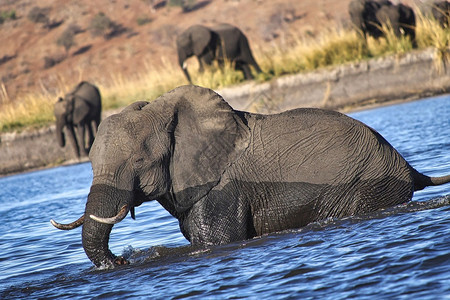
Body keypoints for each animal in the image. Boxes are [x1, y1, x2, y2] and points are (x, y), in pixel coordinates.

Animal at [51, 84, 450, 268]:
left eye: (137, 160)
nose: (122, 261)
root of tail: (408, 167)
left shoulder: (222, 191)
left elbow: (216, 241)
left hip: (372, 185)